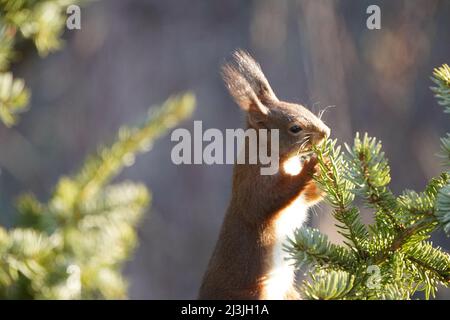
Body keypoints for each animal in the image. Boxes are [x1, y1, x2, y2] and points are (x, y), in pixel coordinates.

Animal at [200, 50, 330, 300]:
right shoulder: (253, 183)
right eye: (295, 128)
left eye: (301, 106)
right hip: (254, 292)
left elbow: (309, 196)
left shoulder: (300, 199)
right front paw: (310, 167)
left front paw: (327, 167)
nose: (326, 132)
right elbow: (266, 200)